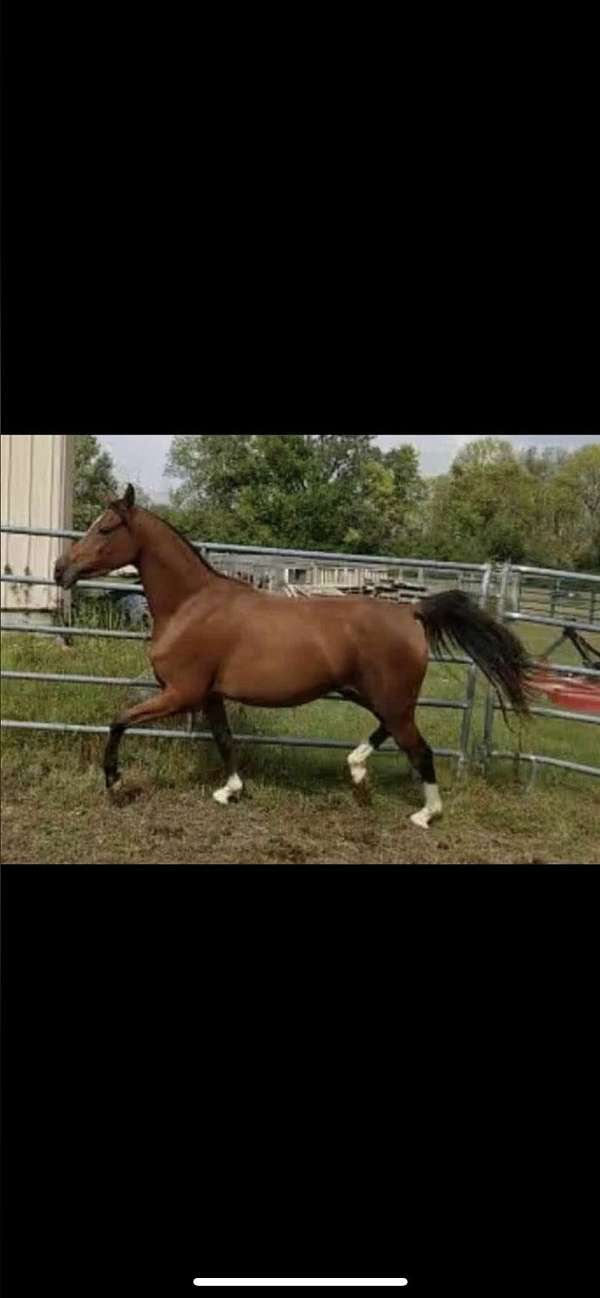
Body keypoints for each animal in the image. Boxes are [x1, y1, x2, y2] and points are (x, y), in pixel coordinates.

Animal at [54, 485, 535, 829]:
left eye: (105, 528)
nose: (61, 570)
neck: (191, 606)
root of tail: (410, 612)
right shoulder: (210, 696)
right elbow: (225, 739)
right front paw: (230, 791)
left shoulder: (181, 693)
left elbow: (119, 720)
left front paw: (115, 781)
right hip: (374, 695)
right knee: (394, 733)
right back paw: (357, 770)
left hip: (390, 698)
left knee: (420, 749)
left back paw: (425, 814)